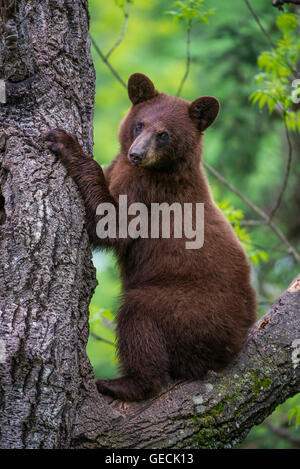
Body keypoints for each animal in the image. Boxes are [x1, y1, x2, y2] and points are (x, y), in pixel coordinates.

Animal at [45, 72, 256, 398]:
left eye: (164, 134)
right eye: (140, 124)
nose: (136, 154)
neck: (163, 169)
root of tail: (233, 346)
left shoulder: (148, 192)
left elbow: (111, 223)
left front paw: (64, 142)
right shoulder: (123, 169)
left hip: (188, 307)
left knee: (140, 317)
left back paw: (122, 383)